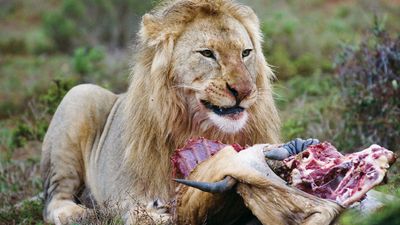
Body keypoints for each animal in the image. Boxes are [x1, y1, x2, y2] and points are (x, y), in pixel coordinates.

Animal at [39, 0, 280, 223]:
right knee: (53, 199)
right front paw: (156, 214)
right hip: (79, 95)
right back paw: (78, 214)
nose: (245, 91)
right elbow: (139, 213)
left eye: (245, 53)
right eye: (207, 53)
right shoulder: (131, 195)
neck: (203, 129)